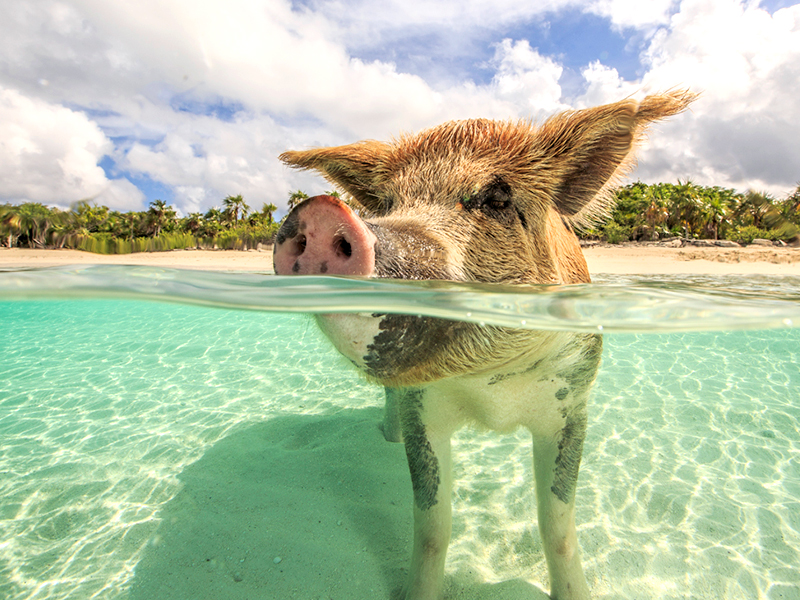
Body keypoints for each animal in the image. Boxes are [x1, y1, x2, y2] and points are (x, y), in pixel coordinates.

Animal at [274, 90, 692, 600]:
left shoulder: (573, 401)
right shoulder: (423, 410)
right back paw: (386, 436)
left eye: (496, 198)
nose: (319, 212)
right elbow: (433, 526)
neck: (491, 389)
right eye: (388, 204)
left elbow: (557, 523)